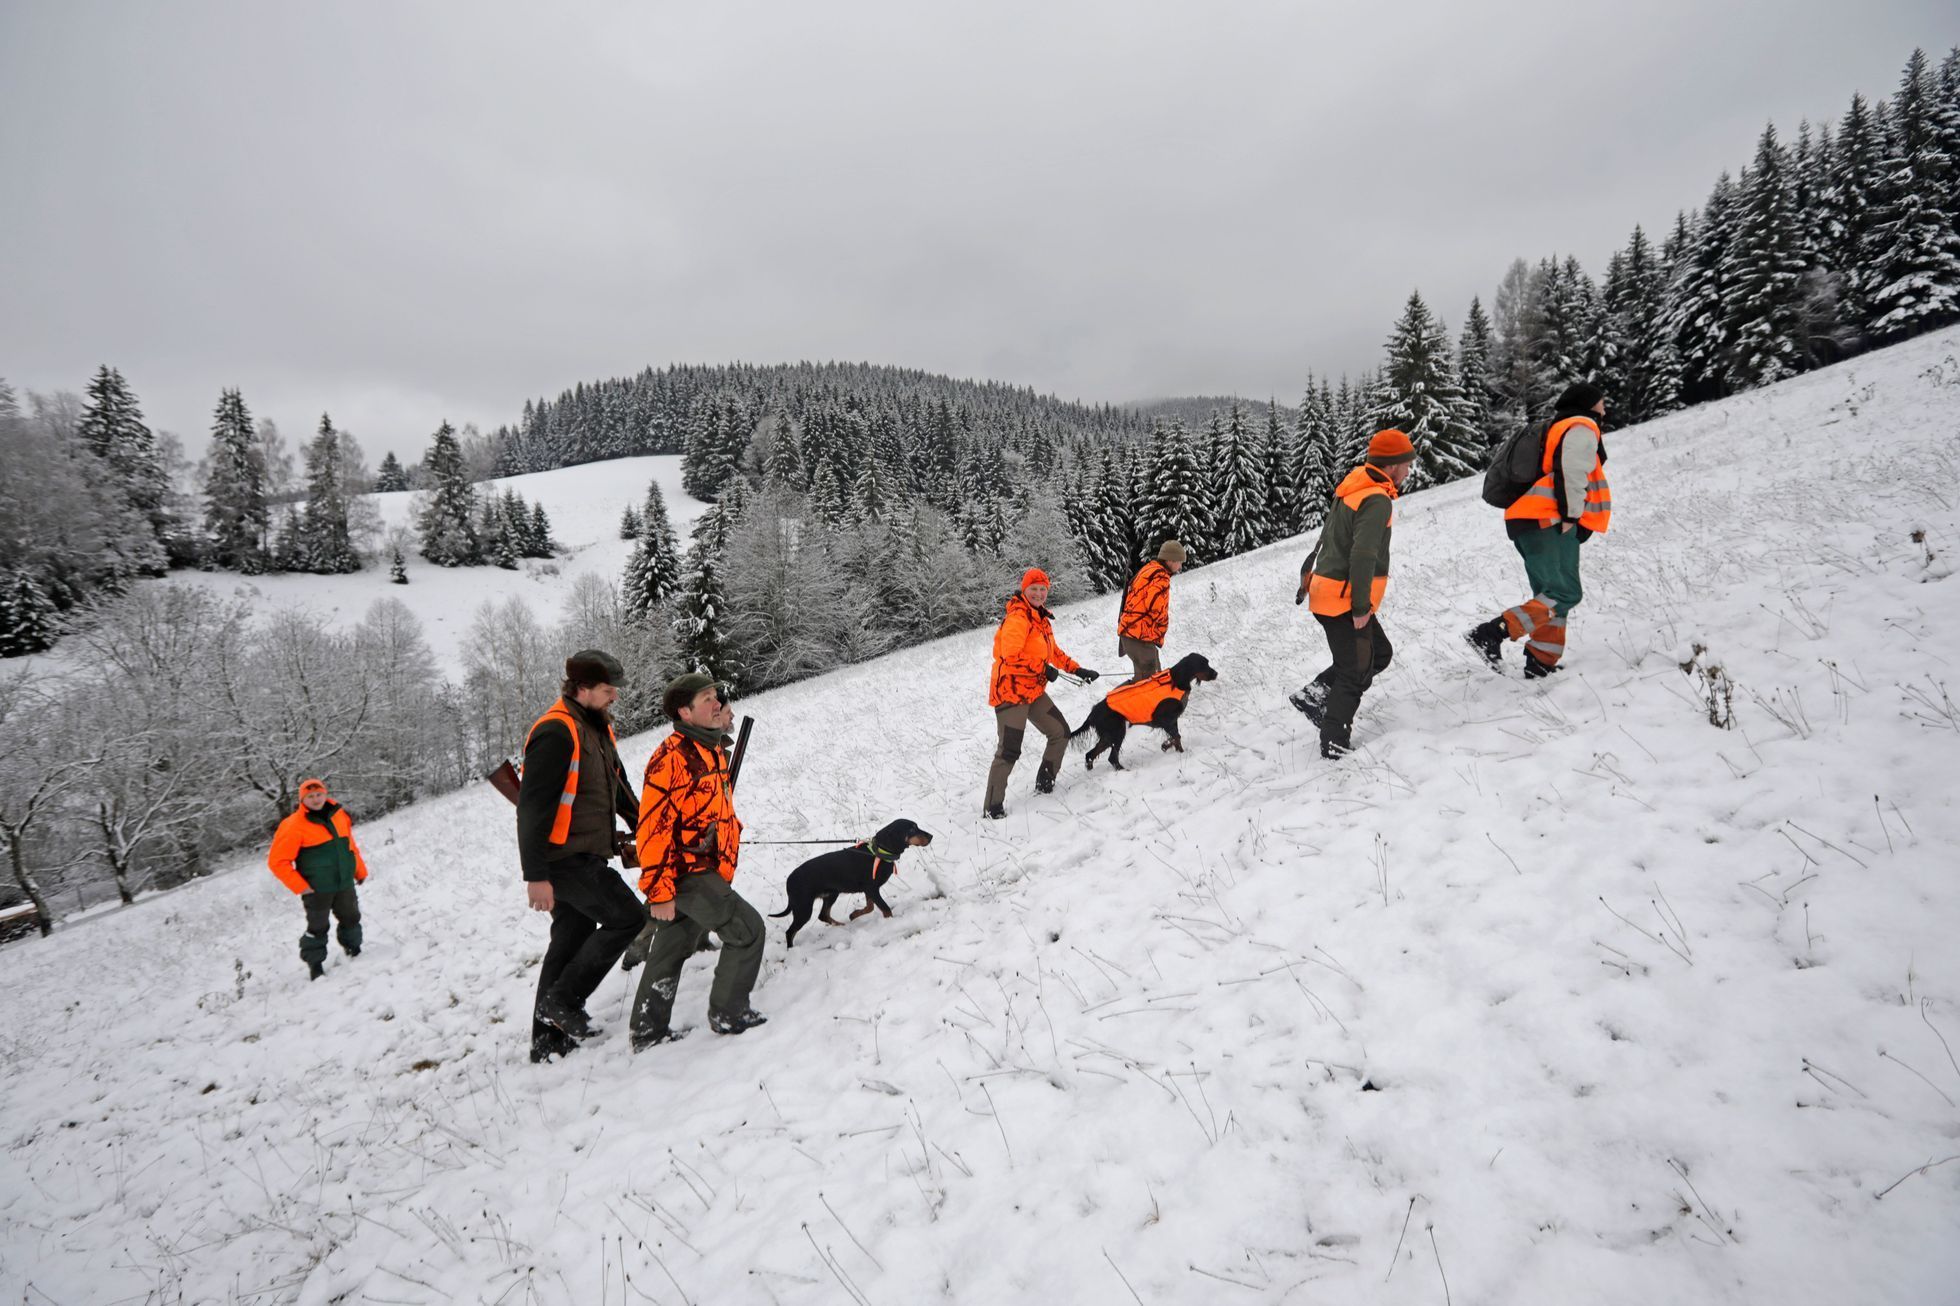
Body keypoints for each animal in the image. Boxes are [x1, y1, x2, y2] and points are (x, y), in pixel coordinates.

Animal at [764, 819, 932, 941]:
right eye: (912, 829)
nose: (931, 836)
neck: (878, 852)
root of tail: (789, 881)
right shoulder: (871, 889)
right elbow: (885, 909)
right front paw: (891, 924)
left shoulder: (868, 890)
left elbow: (870, 907)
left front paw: (854, 915)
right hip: (803, 907)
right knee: (790, 932)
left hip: (831, 894)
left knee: (823, 915)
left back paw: (841, 925)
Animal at [1066, 647, 1215, 768]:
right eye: (1203, 664)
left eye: (1207, 663)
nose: (1216, 674)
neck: (1176, 681)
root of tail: (1093, 713)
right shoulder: (1164, 720)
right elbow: (1176, 737)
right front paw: (1169, 748)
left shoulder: (1173, 720)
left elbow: (1177, 738)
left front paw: (1177, 751)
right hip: (1116, 732)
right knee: (1111, 757)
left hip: (1109, 735)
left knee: (1090, 754)